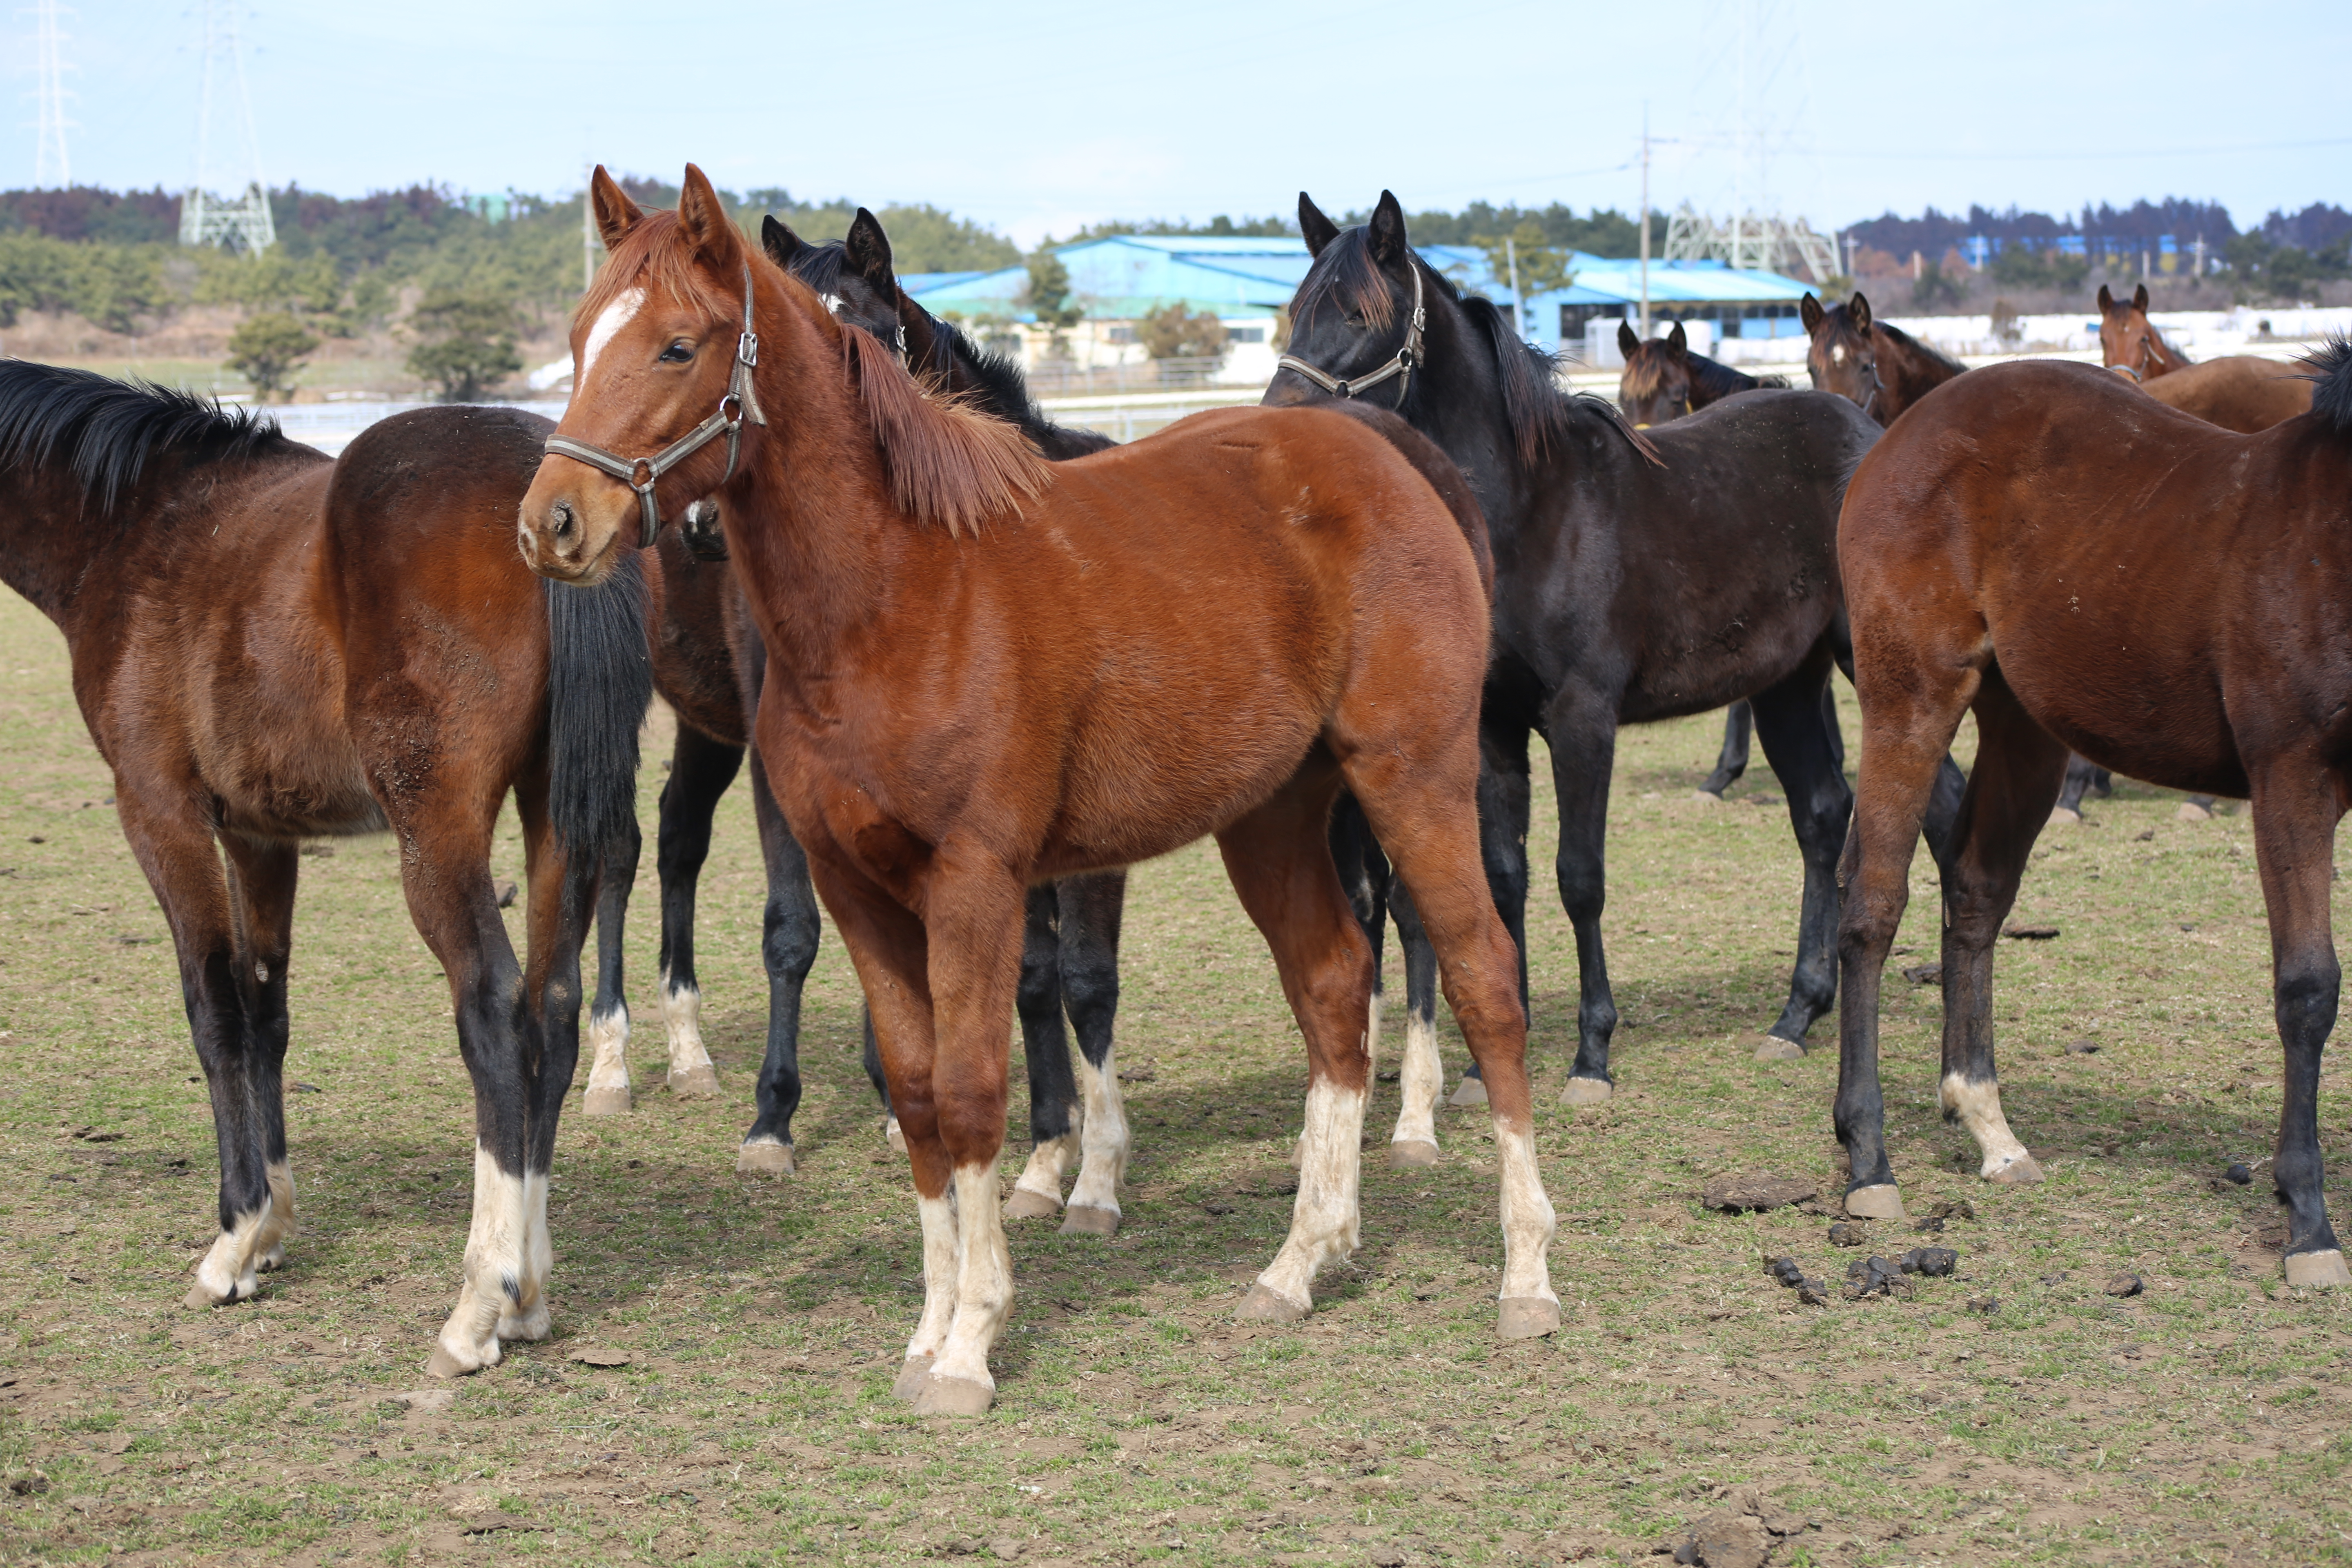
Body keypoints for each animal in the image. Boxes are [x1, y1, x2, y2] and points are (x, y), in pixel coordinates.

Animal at [510, 165, 1561, 1420]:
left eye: (676, 345)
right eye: (579, 337)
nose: (552, 523)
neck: (898, 596)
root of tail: (1399, 463)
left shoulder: (978, 881)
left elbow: (976, 1091)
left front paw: (974, 1338)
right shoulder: (856, 888)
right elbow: (919, 1094)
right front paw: (928, 1332)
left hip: (1416, 781)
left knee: (1485, 980)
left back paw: (1525, 1278)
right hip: (1272, 818)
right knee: (1331, 986)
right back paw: (1299, 1265)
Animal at [1270, 190, 1966, 1109]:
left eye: (1358, 313)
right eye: (1295, 308)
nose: (1279, 422)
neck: (1531, 510)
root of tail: (1872, 429)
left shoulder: (1582, 718)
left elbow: (1580, 877)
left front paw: (1591, 1055)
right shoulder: (1493, 726)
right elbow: (1507, 874)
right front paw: (1489, 1060)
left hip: (1873, 661)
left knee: (1937, 801)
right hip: (1787, 682)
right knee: (1823, 814)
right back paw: (1795, 1016)